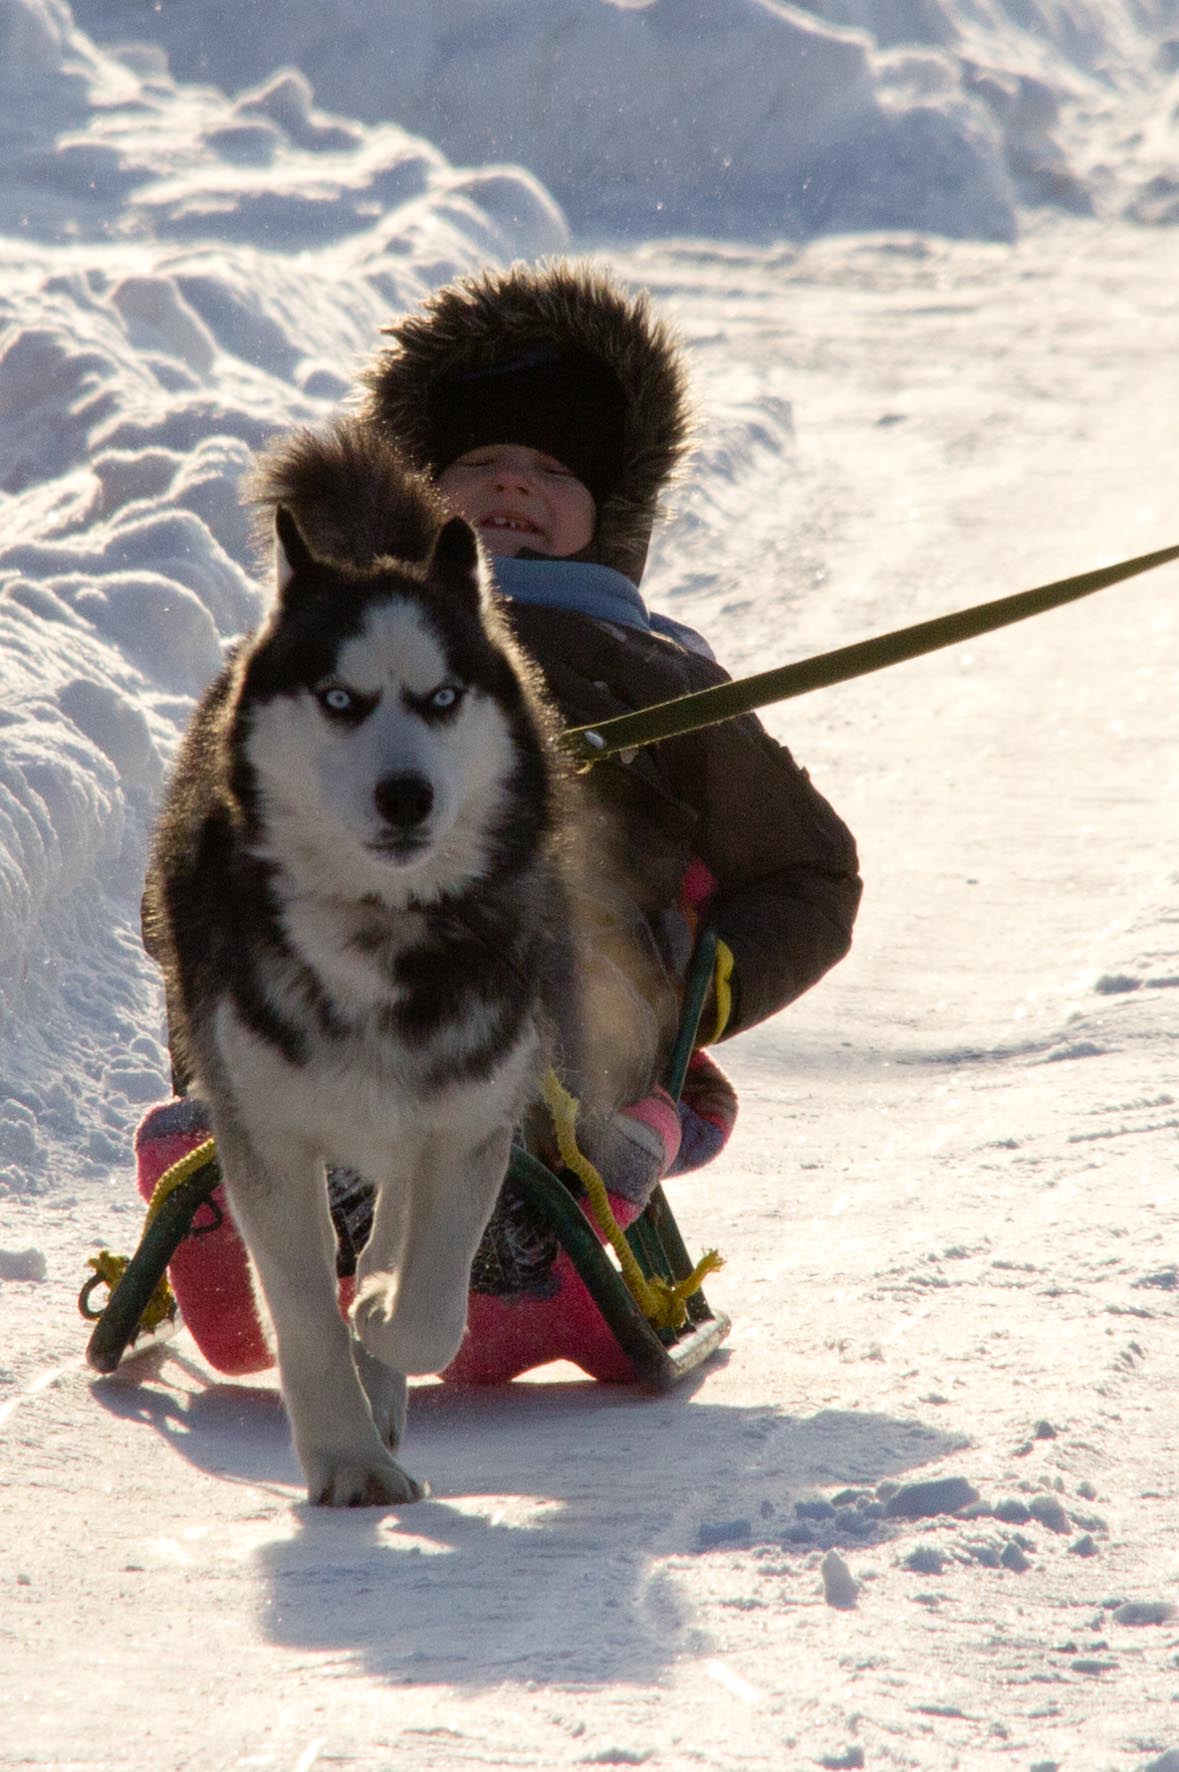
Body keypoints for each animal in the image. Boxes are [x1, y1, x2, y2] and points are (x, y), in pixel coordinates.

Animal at [143, 421, 576, 1505]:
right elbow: (301, 1315)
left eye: (443, 696)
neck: (381, 932)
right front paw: (346, 1455)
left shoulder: (467, 1118)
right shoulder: (265, 1137)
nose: (406, 795)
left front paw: (381, 1316)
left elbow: (428, 1304)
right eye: (341, 698)